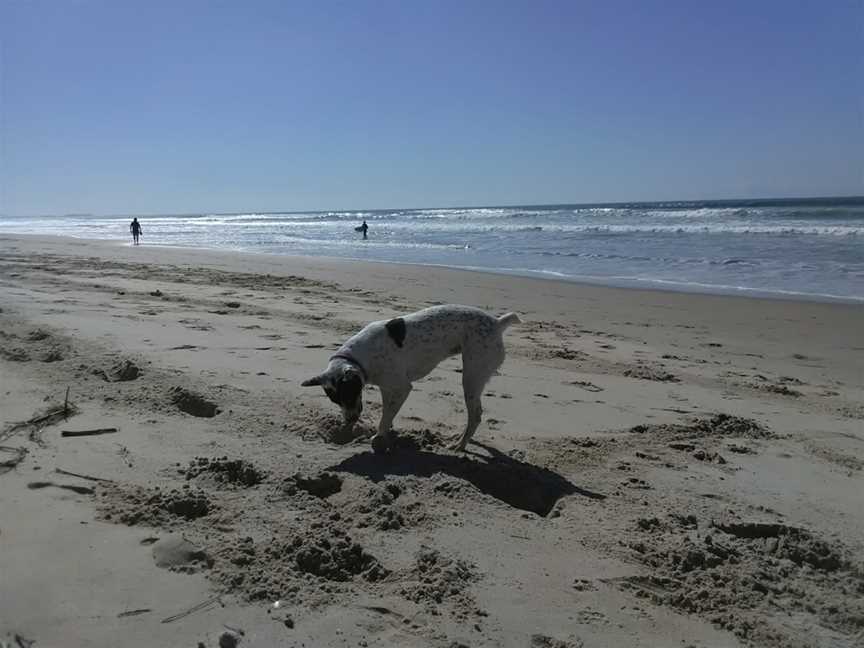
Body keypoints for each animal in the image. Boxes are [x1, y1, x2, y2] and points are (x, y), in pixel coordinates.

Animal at [304, 306, 520, 454]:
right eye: (336, 401)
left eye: (350, 395)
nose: (350, 422)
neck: (358, 356)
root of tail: (497, 323)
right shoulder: (386, 387)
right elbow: (387, 412)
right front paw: (387, 429)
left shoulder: (402, 388)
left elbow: (385, 417)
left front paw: (380, 436)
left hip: (471, 377)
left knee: (475, 414)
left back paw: (460, 444)